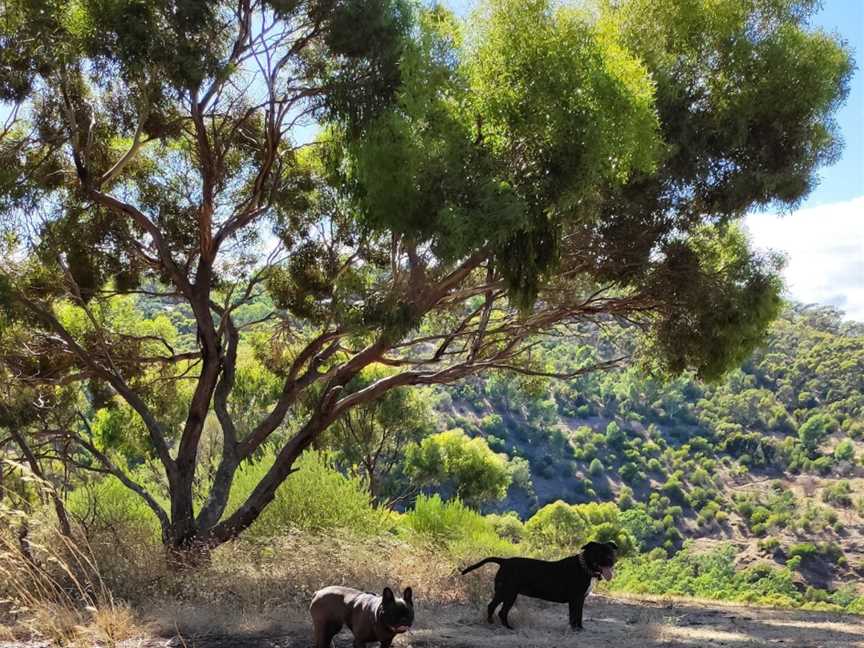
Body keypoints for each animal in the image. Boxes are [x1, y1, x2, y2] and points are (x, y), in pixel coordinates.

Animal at [462, 540, 616, 632]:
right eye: (599, 552)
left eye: (610, 551)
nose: (611, 560)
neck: (585, 568)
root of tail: (504, 561)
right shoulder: (575, 599)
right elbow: (574, 616)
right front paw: (575, 630)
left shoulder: (581, 599)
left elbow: (579, 616)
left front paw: (580, 629)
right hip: (509, 593)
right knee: (502, 611)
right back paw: (508, 627)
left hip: (502, 592)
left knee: (492, 606)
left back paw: (491, 623)